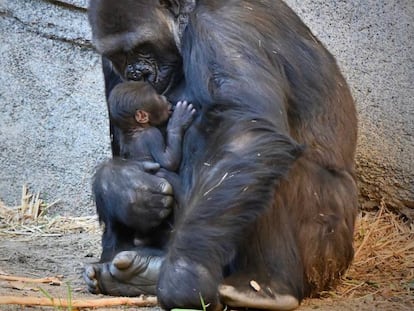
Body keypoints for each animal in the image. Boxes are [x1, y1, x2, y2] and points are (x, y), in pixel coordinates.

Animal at [85, 1, 360, 310]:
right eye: (119, 56)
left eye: (142, 47)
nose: (136, 73)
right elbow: (124, 145)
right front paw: (123, 186)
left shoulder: (222, 26)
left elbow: (247, 135)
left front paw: (184, 277)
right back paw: (139, 271)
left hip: (327, 253)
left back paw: (266, 284)